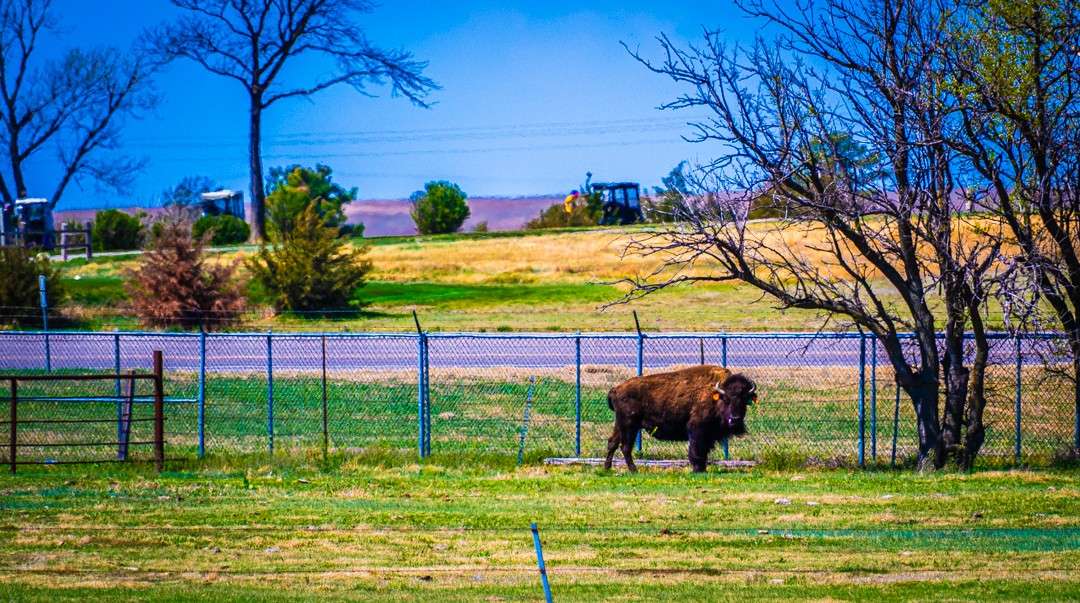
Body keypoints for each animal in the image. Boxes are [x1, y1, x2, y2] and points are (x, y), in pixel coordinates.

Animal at [604, 365, 757, 472]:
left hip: (621, 424)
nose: (735, 419)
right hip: (629, 425)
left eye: (744, 400)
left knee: (612, 442)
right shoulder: (697, 430)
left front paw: (702, 469)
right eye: (726, 399)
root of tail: (616, 388)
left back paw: (607, 468)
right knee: (625, 447)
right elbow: (697, 450)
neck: (715, 395)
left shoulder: (708, 435)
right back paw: (634, 470)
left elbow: (704, 451)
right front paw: (698, 470)